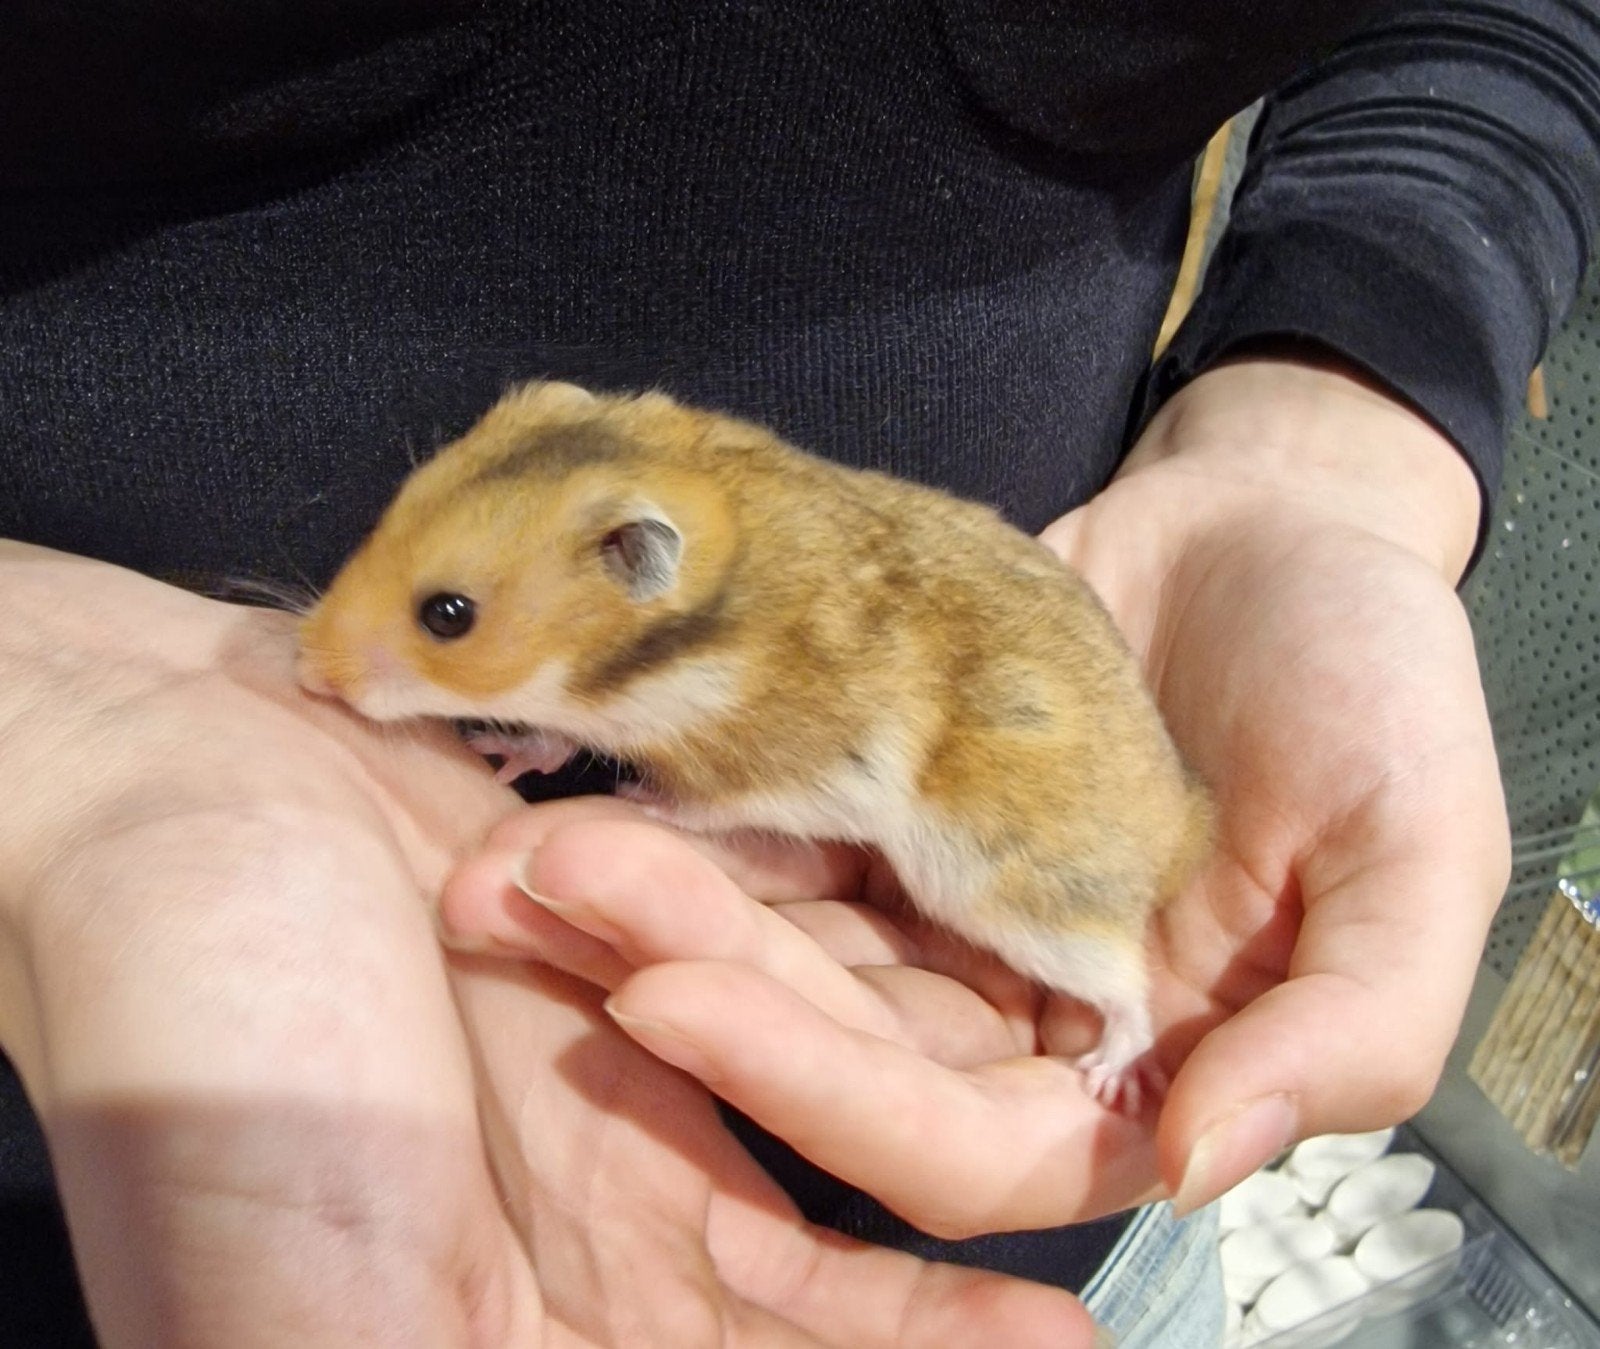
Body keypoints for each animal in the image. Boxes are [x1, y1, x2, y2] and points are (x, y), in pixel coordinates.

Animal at [298, 380, 1212, 1110]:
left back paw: (1109, 1074)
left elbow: (706, 803)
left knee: (1126, 983)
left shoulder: (793, 769)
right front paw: (503, 750)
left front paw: (641, 801)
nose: (305, 665)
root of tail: (1181, 828)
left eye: (447, 614)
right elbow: (552, 734)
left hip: (1015, 891)